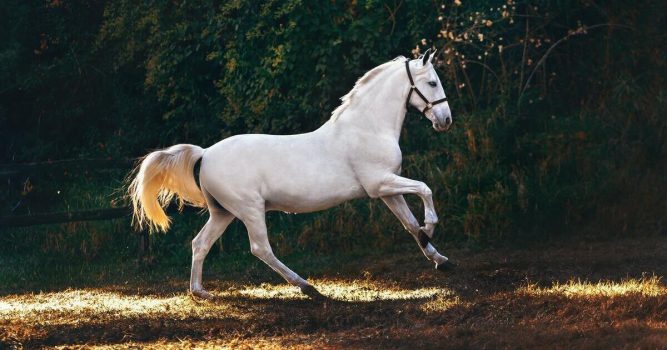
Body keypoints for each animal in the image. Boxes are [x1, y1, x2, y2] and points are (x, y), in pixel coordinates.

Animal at [129, 49, 456, 300]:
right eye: (432, 82)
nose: (445, 121)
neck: (367, 128)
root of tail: (206, 153)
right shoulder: (380, 184)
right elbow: (425, 189)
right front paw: (431, 227)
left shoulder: (388, 190)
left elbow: (410, 224)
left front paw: (440, 259)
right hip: (249, 209)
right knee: (260, 248)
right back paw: (307, 287)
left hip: (223, 212)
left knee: (200, 243)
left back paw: (200, 292)